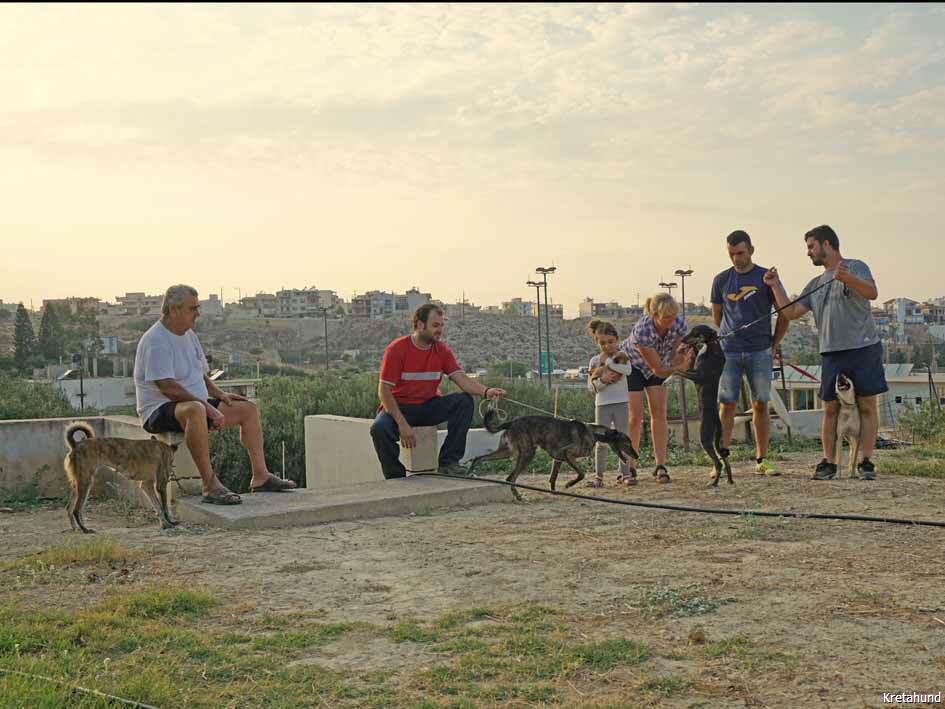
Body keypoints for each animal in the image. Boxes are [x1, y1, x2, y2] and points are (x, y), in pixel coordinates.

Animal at [466, 409, 638, 500]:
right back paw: (519, 497)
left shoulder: (558, 459)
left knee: (478, 458)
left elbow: (553, 479)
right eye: (627, 442)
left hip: (506, 452)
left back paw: (469, 473)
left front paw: (554, 492)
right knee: (510, 478)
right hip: (528, 454)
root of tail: (511, 422)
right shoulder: (568, 454)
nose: (636, 456)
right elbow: (581, 474)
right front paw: (569, 484)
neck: (594, 432)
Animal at [674, 324, 733, 487]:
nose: (682, 340)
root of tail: (717, 422)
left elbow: (678, 371)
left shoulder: (697, 376)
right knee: (725, 460)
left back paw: (714, 483)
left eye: (695, 332)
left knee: (719, 463)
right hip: (717, 441)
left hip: (705, 438)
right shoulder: (693, 370)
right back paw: (730, 480)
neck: (711, 346)